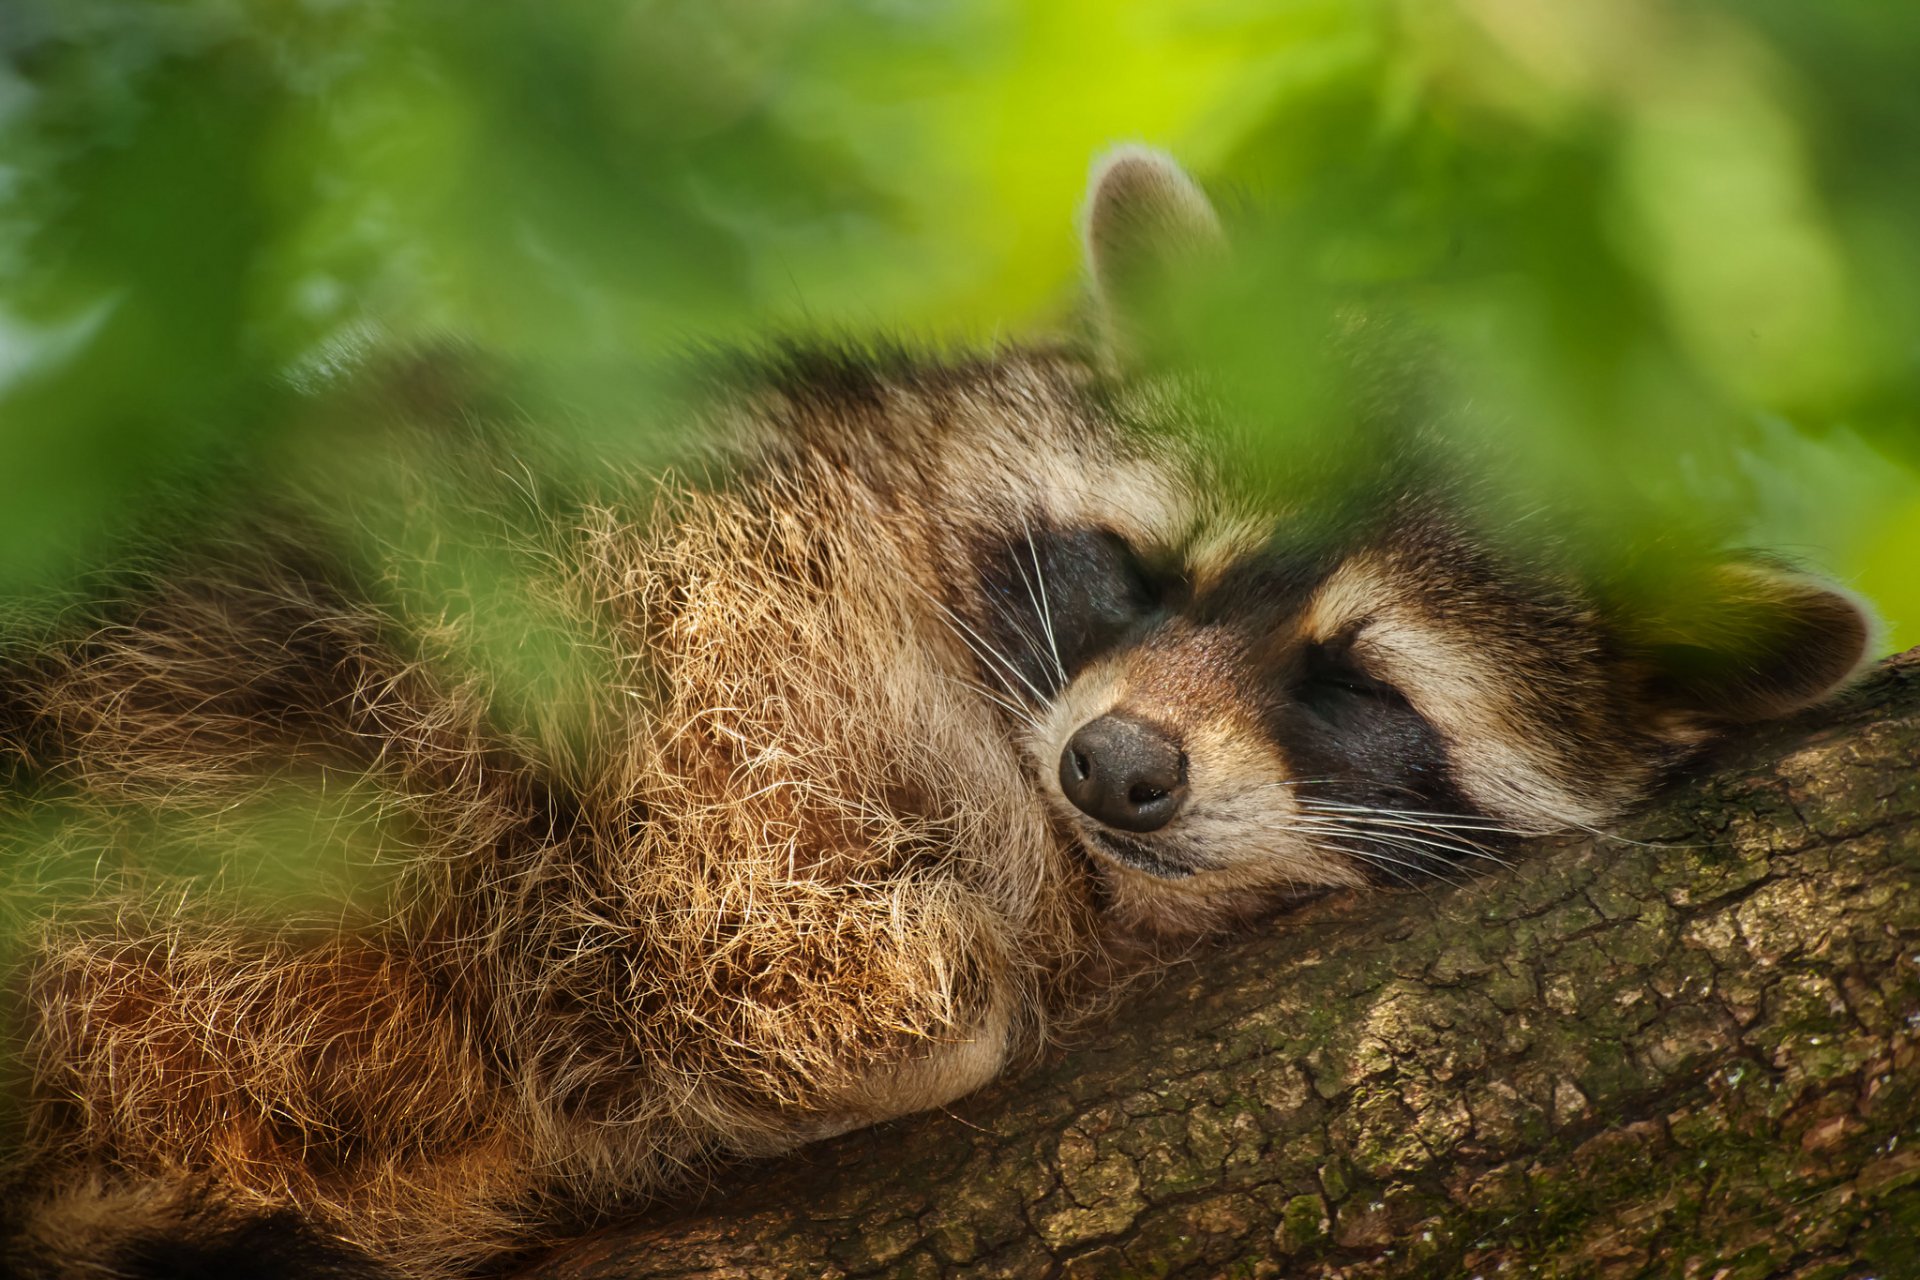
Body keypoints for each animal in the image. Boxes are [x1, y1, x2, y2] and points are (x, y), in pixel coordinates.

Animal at [0, 152, 1866, 1280]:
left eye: (1352, 686)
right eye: (1151, 568)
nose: (1118, 769)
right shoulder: (717, 559)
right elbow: (731, 839)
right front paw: (905, 996)